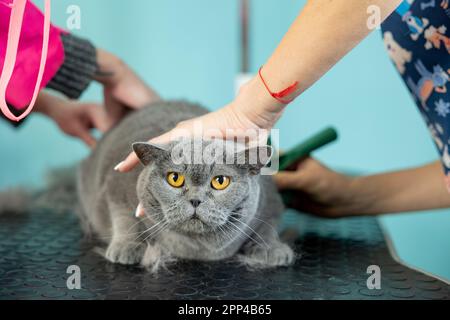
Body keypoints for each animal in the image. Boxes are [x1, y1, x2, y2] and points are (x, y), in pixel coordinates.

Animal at [77, 101, 296, 272]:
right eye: (175, 178)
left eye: (220, 181)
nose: (195, 200)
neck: (197, 249)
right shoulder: (115, 186)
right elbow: (124, 216)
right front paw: (127, 246)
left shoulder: (271, 201)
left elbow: (269, 225)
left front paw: (271, 249)